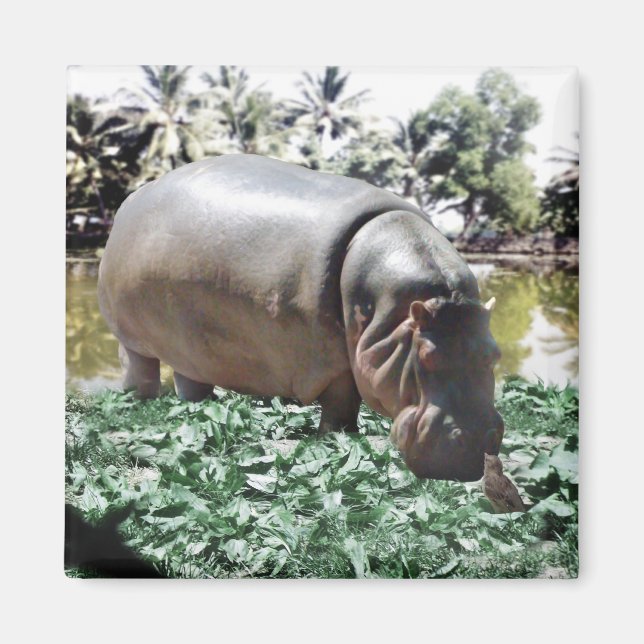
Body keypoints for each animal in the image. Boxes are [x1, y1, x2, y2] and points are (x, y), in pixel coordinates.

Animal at [98, 154, 503, 481]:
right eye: (426, 356)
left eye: (494, 355)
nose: (475, 442)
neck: (395, 316)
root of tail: (132, 199)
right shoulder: (332, 361)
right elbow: (341, 402)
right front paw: (337, 436)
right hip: (129, 337)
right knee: (139, 367)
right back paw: (139, 400)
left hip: (189, 344)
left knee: (190, 377)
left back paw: (199, 407)